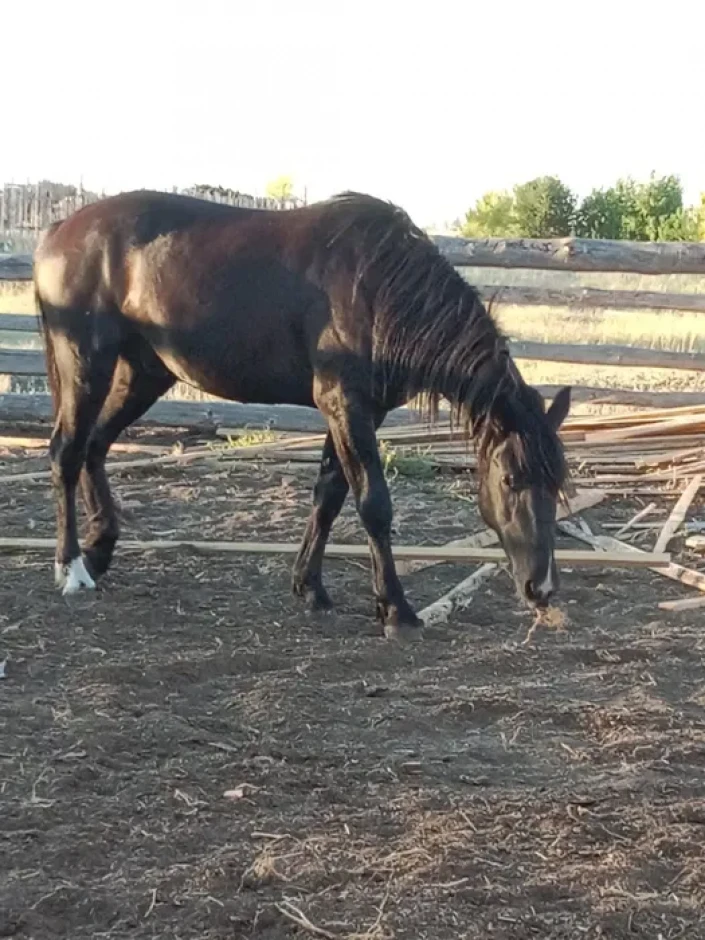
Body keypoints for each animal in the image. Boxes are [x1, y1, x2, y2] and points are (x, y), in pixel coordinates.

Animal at [33, 189, 571, 638]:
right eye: (510, 480)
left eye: (557, 483)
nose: (542, 588)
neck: (377, 288)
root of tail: (60, 229)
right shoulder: (344, 403)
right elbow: (374, 504)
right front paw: (396, 611)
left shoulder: (355, 412)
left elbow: (329, 495)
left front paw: (310, 588)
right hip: (86, 363)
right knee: (67, 452)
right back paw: (72, 569)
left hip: (144, 372)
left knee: (96, 445)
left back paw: (100, 551)